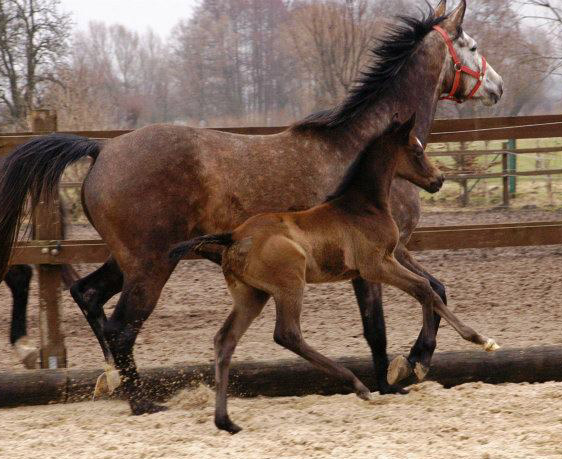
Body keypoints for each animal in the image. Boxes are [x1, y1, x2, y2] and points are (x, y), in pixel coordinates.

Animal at [170, 115, 498, 434]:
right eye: (416, 151)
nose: (438, 180)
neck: (363, 206)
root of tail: (234, 236)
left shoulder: (388, 260)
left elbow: (429, 291)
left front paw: (459, 347)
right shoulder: (376, 265)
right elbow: (424, 289)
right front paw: (432, 358)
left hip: (252, 294)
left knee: (225, 340)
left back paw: (226, 421)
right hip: (290, 284)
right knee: (287, 334)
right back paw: (358, 385)